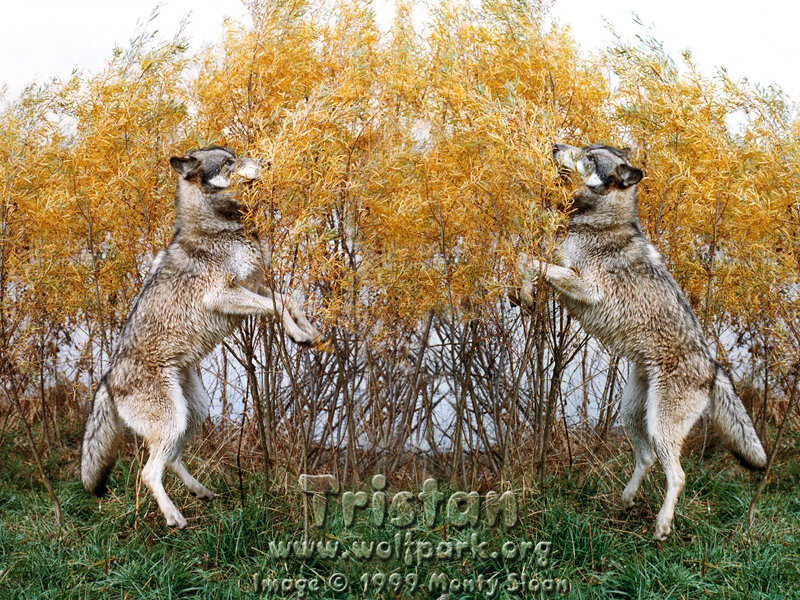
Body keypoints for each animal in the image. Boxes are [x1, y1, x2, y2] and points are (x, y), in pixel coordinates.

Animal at [81, 146, 329, 529]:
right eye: (229, 163)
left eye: (236, 155)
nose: (266, 163)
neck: (222, 226)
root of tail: (107, 379)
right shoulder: (224, 295)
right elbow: (278, 306)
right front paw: (298, 333)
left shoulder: (254, 285)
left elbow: (289, 301)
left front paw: (307, 335)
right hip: (173, 420)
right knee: (149, 472)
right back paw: (174, 517)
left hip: (192, 413)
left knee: (169, 460)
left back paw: (201, 492)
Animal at [516, 143, 767, 540]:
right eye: (582, 146)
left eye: (589, 157)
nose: (555, 145)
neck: (599, 220)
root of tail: (713, 366)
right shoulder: (564, 270)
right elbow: (528, 262)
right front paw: (523, 296)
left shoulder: (588, 287)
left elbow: (531, 261)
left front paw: (524, 291)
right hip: (631, 414)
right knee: (646, 458)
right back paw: (626, 500)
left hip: (660, 427)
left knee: (678, 475)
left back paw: (662, 525)